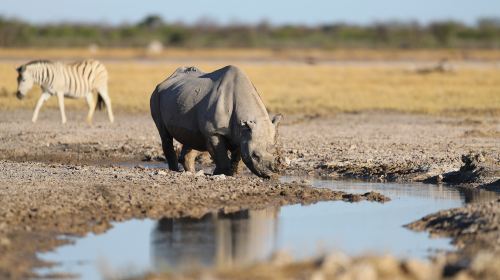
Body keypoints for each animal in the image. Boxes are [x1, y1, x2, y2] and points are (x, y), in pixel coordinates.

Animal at [149, 65, 282, 178]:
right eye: (255, 155)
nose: (272, 175)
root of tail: (168, 78)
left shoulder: (242, 132)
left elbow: (237, 156)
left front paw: (234, 174)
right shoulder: (214, 132)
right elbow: (220, 155)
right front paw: (221, 173)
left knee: (192, 136)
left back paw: (191, 172)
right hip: (156, 95)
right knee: (164, 134)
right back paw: (174, 171)